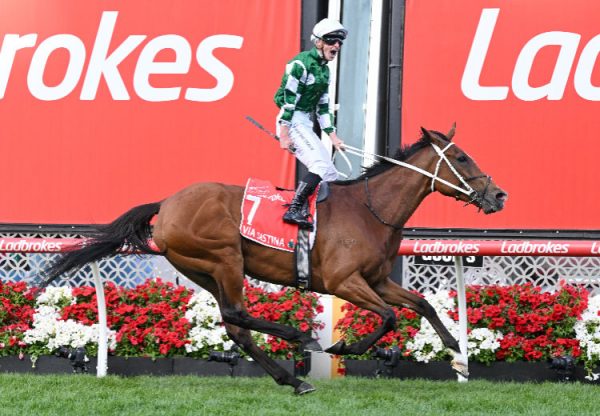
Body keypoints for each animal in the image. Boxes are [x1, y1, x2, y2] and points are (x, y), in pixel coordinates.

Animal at [42, 127, 506, 394]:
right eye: (461, 157)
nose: (499, 195)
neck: (370, 210)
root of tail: (167, 202)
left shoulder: (376, 280)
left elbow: (422, 304)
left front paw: (458, 355)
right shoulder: (343, 282)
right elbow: (390, 317)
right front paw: (342, 345)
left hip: (202, 268)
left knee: (236, 326)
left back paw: (293, 378)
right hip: (223, 258)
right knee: (237, 315)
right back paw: (299, 339)